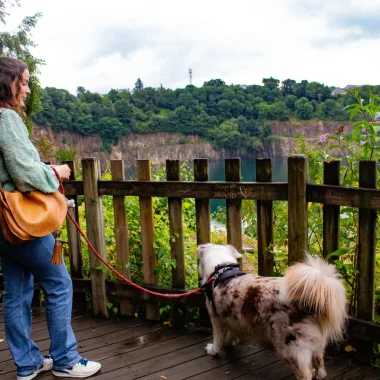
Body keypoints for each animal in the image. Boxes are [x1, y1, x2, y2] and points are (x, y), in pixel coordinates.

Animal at [199, 243, 348, 380]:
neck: (222, 269)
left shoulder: (216, 319)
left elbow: (218, 340)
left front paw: (212, 350)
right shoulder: (231, 318)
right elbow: (231, 332)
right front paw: (230, 341)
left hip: (290, 348)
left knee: (305, 374)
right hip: (317, 344)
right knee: (319, 362)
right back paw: (320, 374)